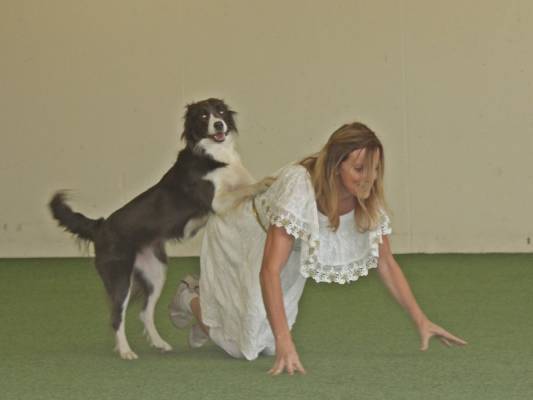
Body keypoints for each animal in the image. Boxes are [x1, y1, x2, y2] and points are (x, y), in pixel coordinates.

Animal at [49, 98, 267, 359]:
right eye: (203, 116)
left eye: (221, 111)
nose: (218, 125)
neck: (213, 154)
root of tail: (100, 227)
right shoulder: (215, 202)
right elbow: (247, 188)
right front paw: (265, 183)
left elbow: (246, 184)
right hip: (120, 277)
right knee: (116, 316)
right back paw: (126, 351)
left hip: (156, 272)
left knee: (145, 312)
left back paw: (159, 343)